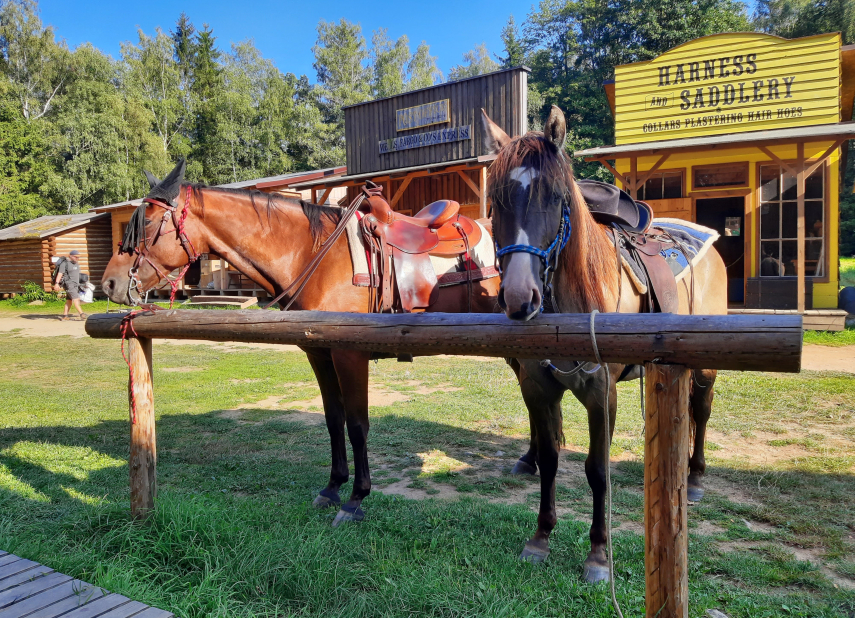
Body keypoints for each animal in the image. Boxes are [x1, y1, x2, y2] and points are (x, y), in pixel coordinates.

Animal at [100, 159, 502, 524]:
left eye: (146, 223)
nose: (109, 283)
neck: (316, 254)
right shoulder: (319, 353)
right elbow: (333, 419)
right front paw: (333, 487)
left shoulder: (349, 354)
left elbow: (358, 425)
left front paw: (356, 499)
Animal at [482, 104, 728, 576]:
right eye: (494, 201)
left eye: (555, 197)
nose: (520, 297)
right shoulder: (538, 386)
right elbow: (551, 459)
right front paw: (541, 537)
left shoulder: (601, 392)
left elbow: (598, 470)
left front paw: (597, 554)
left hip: (706, 365)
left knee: (703, 410)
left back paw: (695, 478)